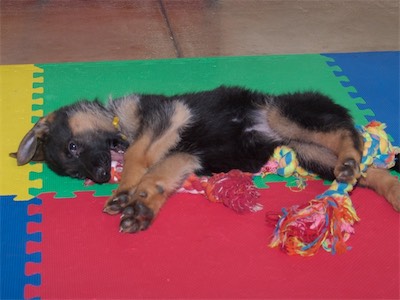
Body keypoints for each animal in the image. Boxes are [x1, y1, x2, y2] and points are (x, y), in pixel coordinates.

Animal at [10, 86, 398, 232]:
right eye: (76, 175)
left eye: (73, 147)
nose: (103, 174)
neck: (119, 128)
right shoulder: (185, 156)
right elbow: (159, 177)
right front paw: (142, 206)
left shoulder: (167, 116)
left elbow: (138, 156)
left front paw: (125, 191)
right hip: (309, 152)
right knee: (364, 170)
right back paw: (387, 187)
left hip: (282, 116)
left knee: (351, 136)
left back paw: (351, 155)